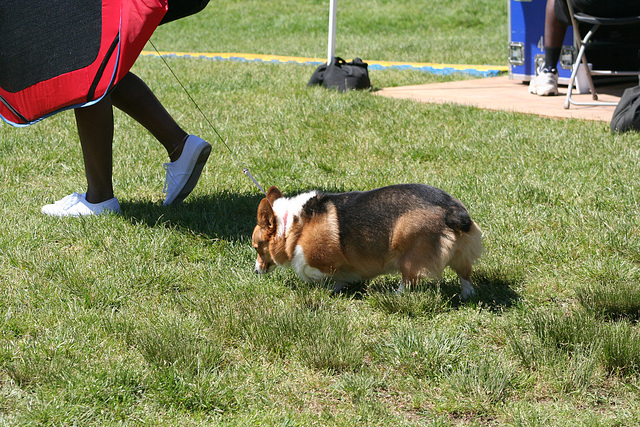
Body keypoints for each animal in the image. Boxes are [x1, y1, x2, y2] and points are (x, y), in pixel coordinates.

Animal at [252, 186, 482, 300]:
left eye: (257, 247)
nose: (255, 271)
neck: (291, 225)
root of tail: (452, 210)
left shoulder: (317, 260)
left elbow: (314, 273)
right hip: (461, 254)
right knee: (465, 276)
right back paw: (467, 295)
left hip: (409, 251)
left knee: (409, 280)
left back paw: (394, 295)